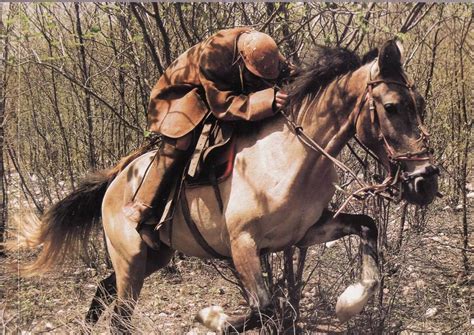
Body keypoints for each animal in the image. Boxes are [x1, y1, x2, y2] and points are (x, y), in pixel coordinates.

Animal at [19, 40, 440, 334]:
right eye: (391, 107)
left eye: (419, 103)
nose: (426, 180)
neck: (291, 155)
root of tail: (116, 180)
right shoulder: (243, 244)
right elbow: (264, 308)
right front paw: (210, 317)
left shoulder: (306, 232)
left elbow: (367, 226)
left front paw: (350, 302)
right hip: (131, 260)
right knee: (120, 315)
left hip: (153, 257)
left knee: (106, 291)